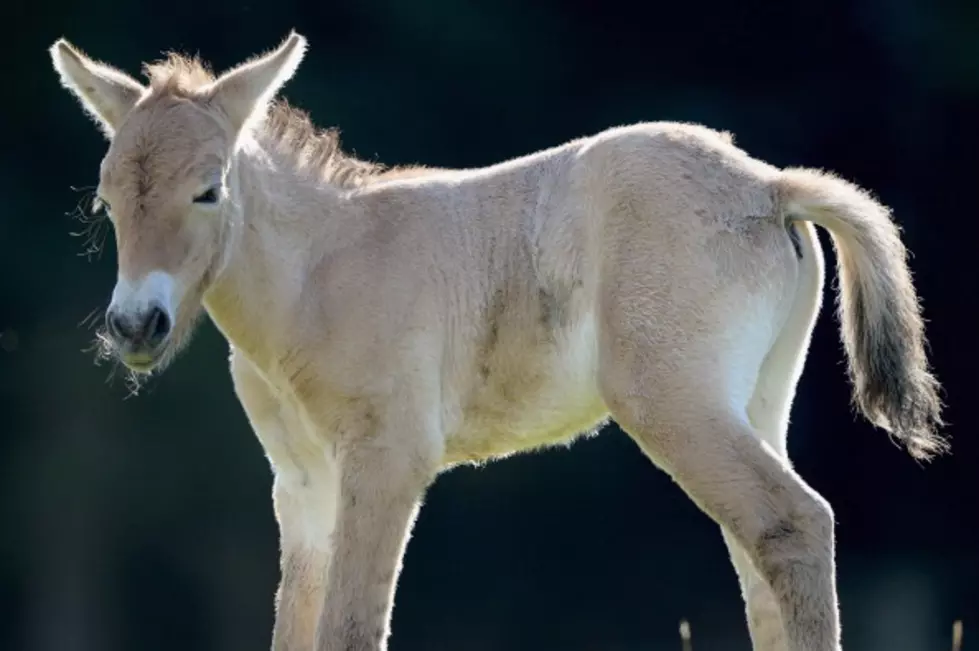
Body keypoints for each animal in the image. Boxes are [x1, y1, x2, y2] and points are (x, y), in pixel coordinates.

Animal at [49, 30, 944, 651]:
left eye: (208, 190)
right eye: (105, 198)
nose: (136, 325)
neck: (320, 267)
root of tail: (766, 187)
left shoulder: (387, 462)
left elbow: (350, 627)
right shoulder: (302, 487)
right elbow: (296, 630)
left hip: (677, 403)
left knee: (793, 522)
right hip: (753, 404)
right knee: (761, 553)